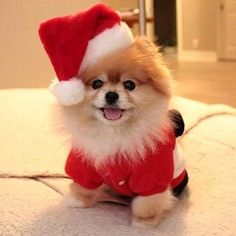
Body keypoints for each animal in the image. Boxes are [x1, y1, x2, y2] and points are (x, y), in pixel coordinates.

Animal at [56, 37, 188, 228]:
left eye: (129, 85)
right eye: (97, 83)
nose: (111, 95)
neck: (115, 132)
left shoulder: (152, 174)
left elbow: (147, 203)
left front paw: (143, 223)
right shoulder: (84, 163)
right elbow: (82, 185)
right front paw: (77, 201)